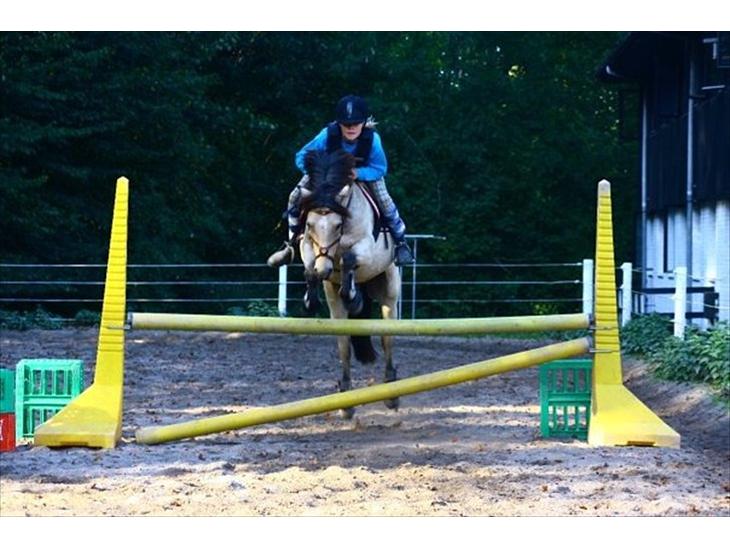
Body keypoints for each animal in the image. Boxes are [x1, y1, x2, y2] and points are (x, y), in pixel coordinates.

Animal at [297, 149, 401, 419]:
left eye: (337, 225)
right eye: (309, 224)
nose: (325, 270)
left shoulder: (368, 249)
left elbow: (349, 259)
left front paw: (352, 295)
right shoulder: (307, 245)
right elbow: (309, 266)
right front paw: (310, 299)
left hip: (389, 293)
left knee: (387, 340)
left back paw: (392, 392)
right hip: (335, 308)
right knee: (344, 344)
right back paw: (345, 400)